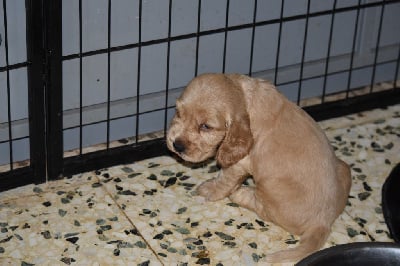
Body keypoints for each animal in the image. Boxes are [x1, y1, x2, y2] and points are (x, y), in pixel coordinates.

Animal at [166, 73, 350, 264]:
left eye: (206, 126)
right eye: (178, 112)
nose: (176, 145)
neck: (246, 99)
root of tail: (323, 222)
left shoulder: (240, 162)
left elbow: (224, 179)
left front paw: (210, 189)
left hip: (270, 185)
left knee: (264, 210)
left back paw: (241, 193)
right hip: (344, 168)